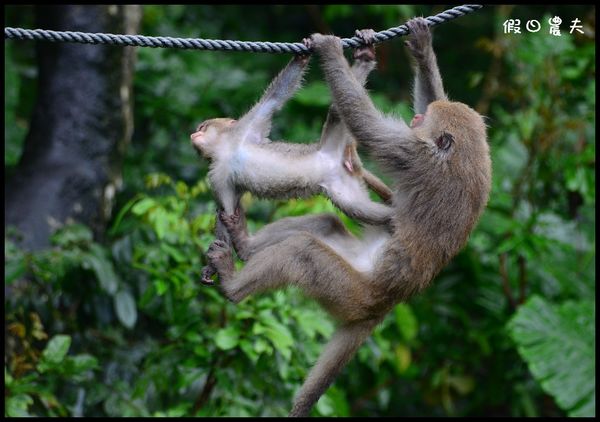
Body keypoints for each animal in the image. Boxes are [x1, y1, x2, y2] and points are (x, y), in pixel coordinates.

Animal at [206, 18, 492, 418]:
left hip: (347, 291)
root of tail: (383, 305)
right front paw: (421, 47)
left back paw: (233, 284)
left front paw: (328, 49)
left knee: (303, 252)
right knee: (325, 225)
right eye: (422, 116)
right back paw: (247, 246)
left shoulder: (412, 153)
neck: (465, 154)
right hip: (350, 264)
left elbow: (367, 127)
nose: (417, 118)